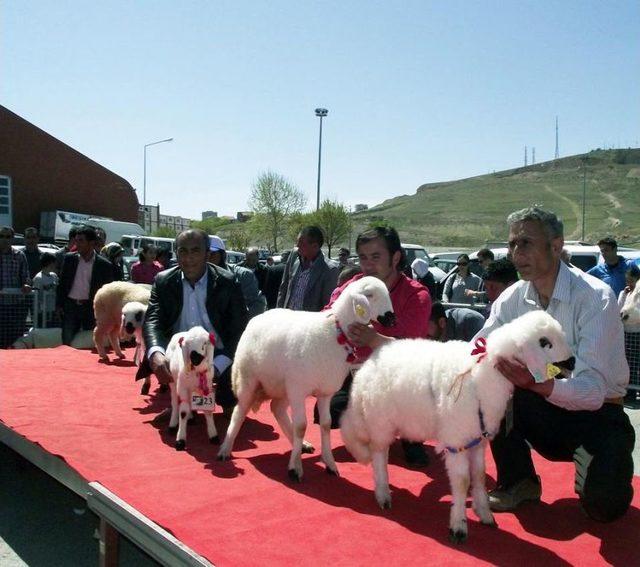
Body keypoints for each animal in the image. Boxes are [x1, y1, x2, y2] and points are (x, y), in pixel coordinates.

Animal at [218, 278, 396, 482]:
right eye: (369, 295)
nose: (392, 318)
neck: (335, 331)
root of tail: (259, 316)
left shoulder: (324, 392)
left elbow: (326, 424)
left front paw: (329, 463)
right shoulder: (298, 389)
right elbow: (301, 426)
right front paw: (295, 468)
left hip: (283, 385)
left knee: (277, 408)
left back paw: (302, 444)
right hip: (249, 379)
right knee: (239, 411)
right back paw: (225, 448)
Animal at [340, 310, 576, 544]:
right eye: (544, 342)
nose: (572, 361)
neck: (483, 376)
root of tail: (369, 363)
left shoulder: (477, 441)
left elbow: (479, 476)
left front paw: (485, 514)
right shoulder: (457, 440)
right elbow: (463, 482)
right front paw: (458, 525)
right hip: (381, 420)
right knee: (377, 453)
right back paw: (383, 495)